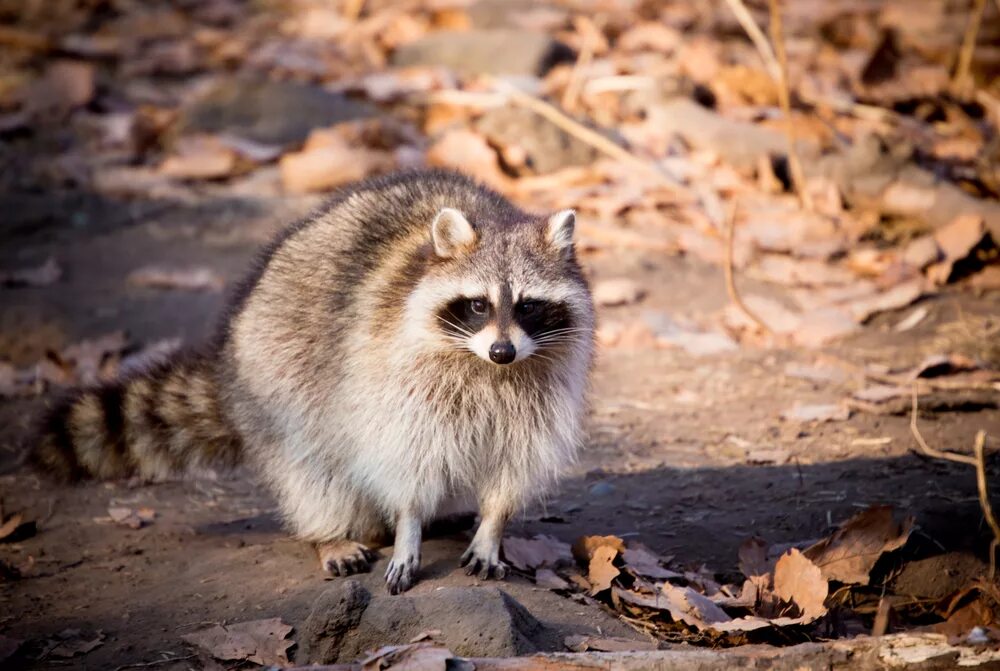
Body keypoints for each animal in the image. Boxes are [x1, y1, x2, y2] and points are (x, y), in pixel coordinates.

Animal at [31, 169, 592, 592]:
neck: (487, 369)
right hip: (278, 374)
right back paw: (332, 531)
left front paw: (492, 525)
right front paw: (409, 524)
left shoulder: (540, 387)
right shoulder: (393, 372)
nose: (502, 350)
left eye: (529, 306)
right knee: (311, 465)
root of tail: (230, 356)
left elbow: (517, 460)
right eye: (477, 305)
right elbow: (404, 456)